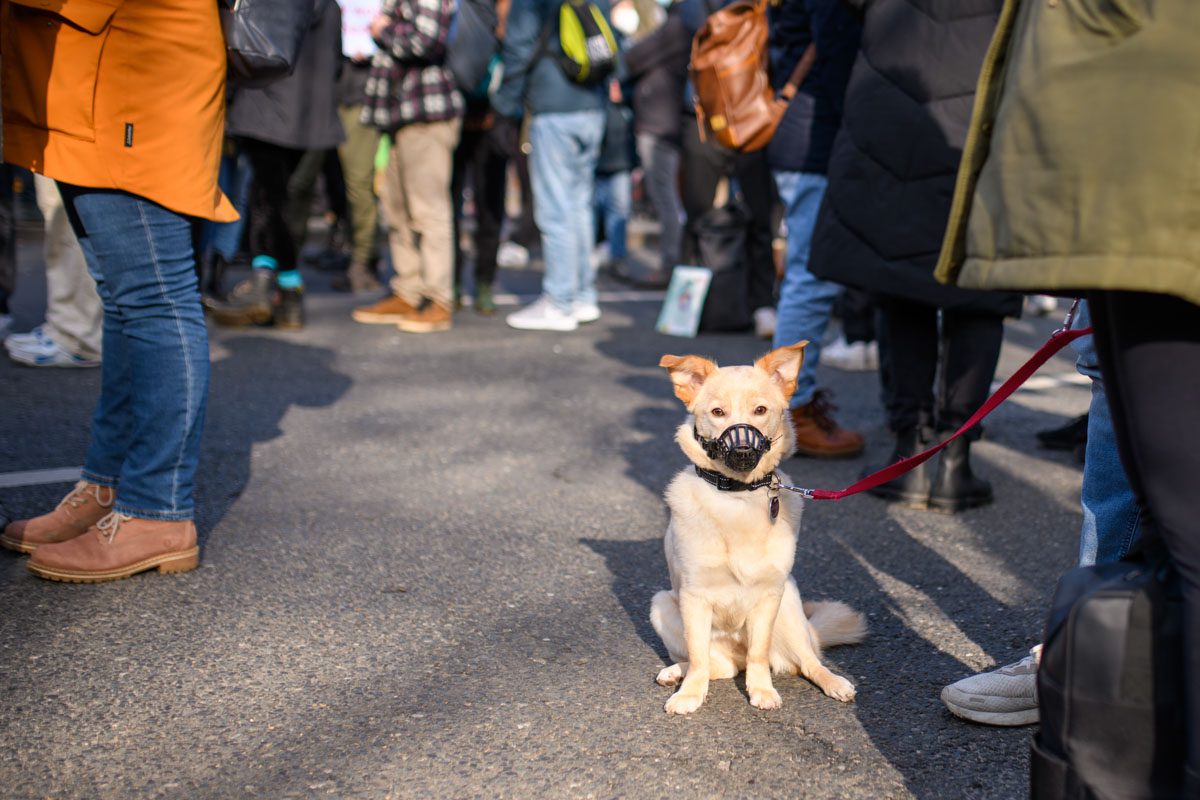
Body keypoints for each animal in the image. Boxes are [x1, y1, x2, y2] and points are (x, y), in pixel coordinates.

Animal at [652, 340, 868, 714]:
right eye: (718, 412)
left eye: (760, 409)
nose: (741, 449)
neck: (738, 498)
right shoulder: (694, 597)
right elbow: (699, 657)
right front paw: (690, 693)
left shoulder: (770, 595)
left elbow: (759, 652)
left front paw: (762, 690)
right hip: (662, 603)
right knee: (714, 665)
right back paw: (677, 671)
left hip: (791, 606)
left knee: (808, 661)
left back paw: (834, 682)